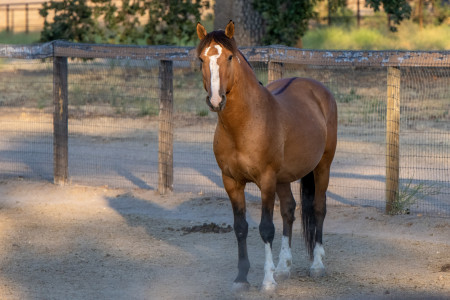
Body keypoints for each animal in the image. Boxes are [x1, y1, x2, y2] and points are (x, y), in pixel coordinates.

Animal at [197, 21, 338, 292]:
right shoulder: (231, 182)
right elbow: (241, 228)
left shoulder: (266, 180)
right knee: (289, 211)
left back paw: (317, 265)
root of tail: (316, 88)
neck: (245, 124)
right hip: (283, 178)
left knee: (318, 208)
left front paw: (268, 281)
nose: (216, 100)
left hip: (322, 166)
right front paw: (241, 278)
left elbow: (266, 229)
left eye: (229, 57)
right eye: (201, 59)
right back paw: (284, 267)